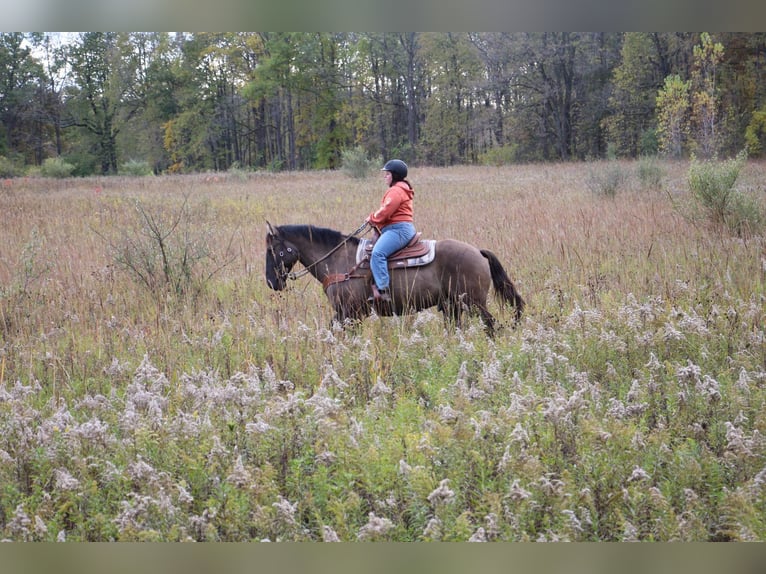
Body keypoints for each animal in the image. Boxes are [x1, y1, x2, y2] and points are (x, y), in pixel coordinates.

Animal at [266, 222, 528, 338]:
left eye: (274, 250)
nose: (271, 282)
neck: (339, 259)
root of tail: (477, 252)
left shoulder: (349, 312)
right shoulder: (347, 314)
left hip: (473, 303)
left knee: (491, 325)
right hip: (453, 307)